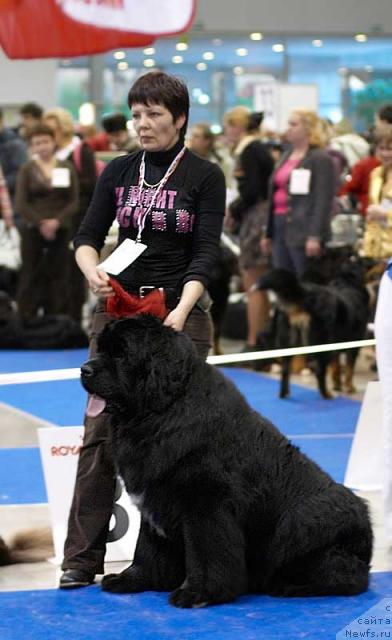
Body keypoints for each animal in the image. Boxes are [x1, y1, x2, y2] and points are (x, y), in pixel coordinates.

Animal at [81, 318, 372, 608]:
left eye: (121, 354)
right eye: (101, 348)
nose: (84, 369)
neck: (163, 411)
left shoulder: (206, 504)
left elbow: (205, 552)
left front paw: (198, 593)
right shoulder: (154, 499)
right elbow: (147, 548)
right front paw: (133, 579)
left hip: (304, 532)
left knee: (346, 577)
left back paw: (290, 586)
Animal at [258, 262, 370, 398]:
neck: (346, 283)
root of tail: (307, 295)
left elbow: (336, 368)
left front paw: (337, 386)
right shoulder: (353, 345)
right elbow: (349, 369)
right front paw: (349, 388)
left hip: (288, 342)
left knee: (285, 370)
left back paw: (284, 394)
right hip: (321, 341)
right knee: (319, 370)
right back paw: (326, 394)